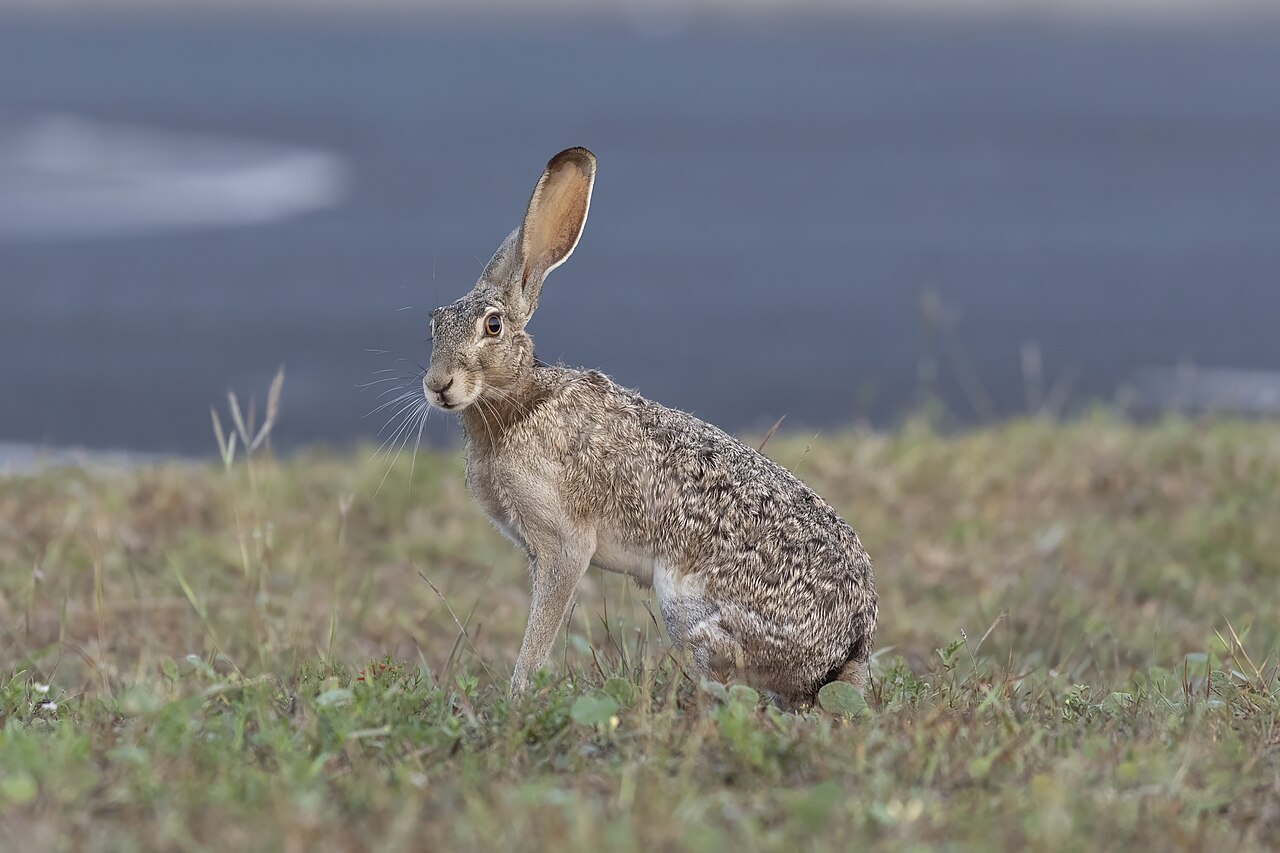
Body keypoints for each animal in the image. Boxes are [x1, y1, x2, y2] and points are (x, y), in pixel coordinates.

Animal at [423, 147, 877, 708]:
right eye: (432, 325)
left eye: (493, 326)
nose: (437, 385)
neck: (518, 401)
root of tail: (848, 647)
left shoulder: (563, 544)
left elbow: (542, 627)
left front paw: (518, 696)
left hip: (689, 613)